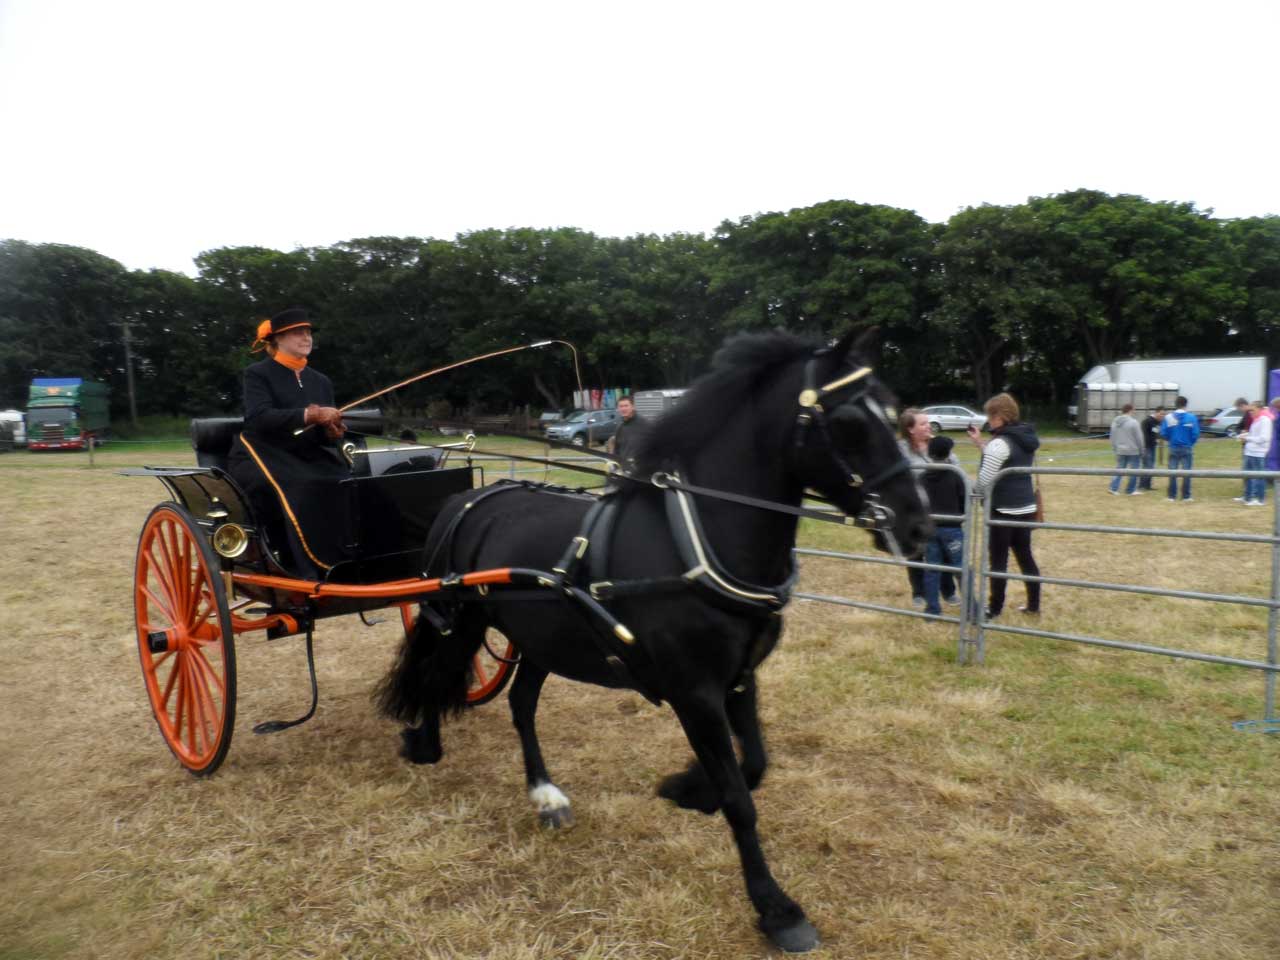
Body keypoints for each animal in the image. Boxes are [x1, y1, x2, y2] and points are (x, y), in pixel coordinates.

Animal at [373, 330, 926, 957]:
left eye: (896, 414)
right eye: (852, 421)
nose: (917, 523)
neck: (696, 545)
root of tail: (468, 499)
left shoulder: (739, 677)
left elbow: (754, 765)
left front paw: (688, 789)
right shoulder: (694, 692)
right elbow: (741, 798)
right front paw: (776, 908)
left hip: (541, 639)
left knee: (520, 705)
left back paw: (545, 794)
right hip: (458, 618)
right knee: (437, 670)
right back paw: (424, 742)